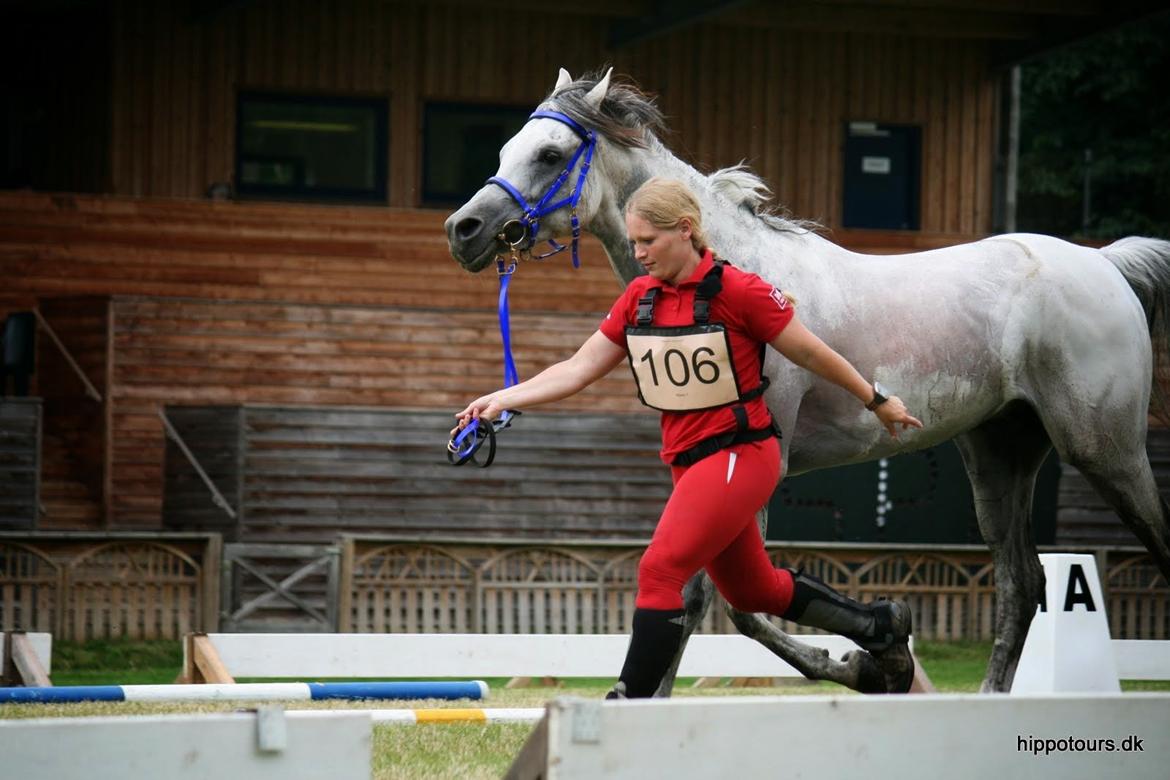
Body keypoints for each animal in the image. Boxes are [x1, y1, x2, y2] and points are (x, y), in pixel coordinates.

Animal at [444, 65, 1170, 687]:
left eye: (549, 155)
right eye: (508, 148)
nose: (464, 229)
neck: (729, 266)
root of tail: (1105, 264)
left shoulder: (762, 462)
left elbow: (741, 603)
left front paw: (873, 662)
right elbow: (691, 593)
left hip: (1104, 450)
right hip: (1000, 451)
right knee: (1022, 585)